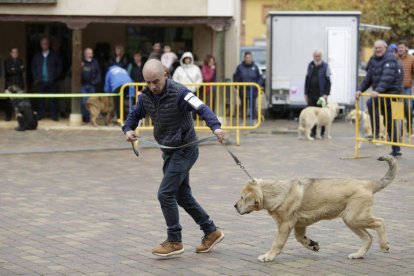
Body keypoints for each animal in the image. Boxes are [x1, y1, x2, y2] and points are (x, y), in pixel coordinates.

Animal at [234, 156, 396, 262]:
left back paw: (384, 245)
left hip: (355, 217)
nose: (235, 206)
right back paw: (358, 255)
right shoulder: (299, 224)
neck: (274, 192)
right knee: (368, 237)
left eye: (242, 197)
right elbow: (300, 238)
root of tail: (369, 184)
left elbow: (278, 242)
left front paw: (268, 256)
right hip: (351, 220)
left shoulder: (285, 224)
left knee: (380, 223)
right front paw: (312, 245)